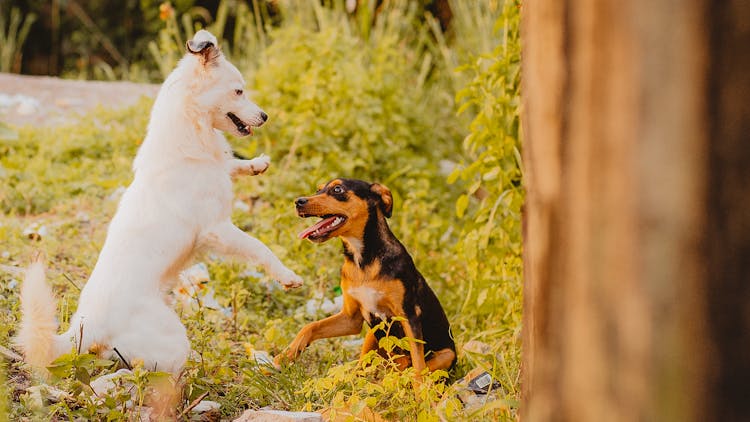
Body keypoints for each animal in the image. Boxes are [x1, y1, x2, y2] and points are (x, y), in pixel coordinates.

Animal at [15, 29, 302, 374]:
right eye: (238, 91)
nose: (265, 116)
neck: (190, 132)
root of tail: (86, 326)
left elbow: (229, 164)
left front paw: (256, 164)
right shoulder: (218, 229)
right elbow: (261, 248)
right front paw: (287, 276)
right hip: (172, 341)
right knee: (140, 369)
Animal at [274, 178, 456, 376]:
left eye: (338, 189)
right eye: (318, 189)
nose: (298, 202)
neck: (362, 260)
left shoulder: (408, 315)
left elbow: (418, 365)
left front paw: (418, 386)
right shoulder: (351, 318)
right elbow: (310, 326)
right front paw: (287, 355)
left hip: (447, 355)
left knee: (414, 366)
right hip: (372, 334)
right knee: (366, 364)